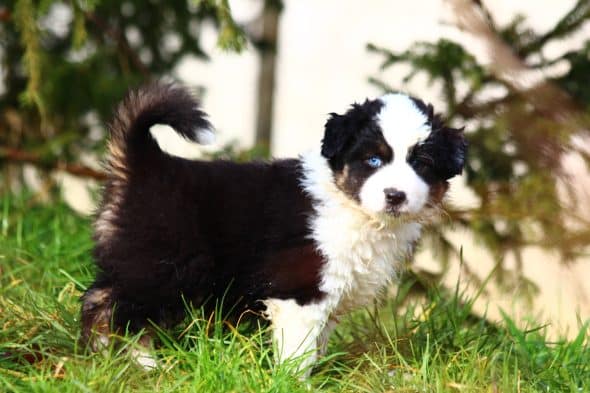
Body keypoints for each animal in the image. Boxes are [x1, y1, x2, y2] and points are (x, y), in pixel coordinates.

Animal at [81, 83, 468, 374]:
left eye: (421, 163)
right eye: (373, 159)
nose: (395, 196)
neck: (353, 208)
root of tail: (146, 160)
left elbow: (316, 344)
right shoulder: (300, 290)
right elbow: (298, 349)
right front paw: (294, 381)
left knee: (100, 298)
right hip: (165, 267)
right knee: (118, 309)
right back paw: (142, 362)